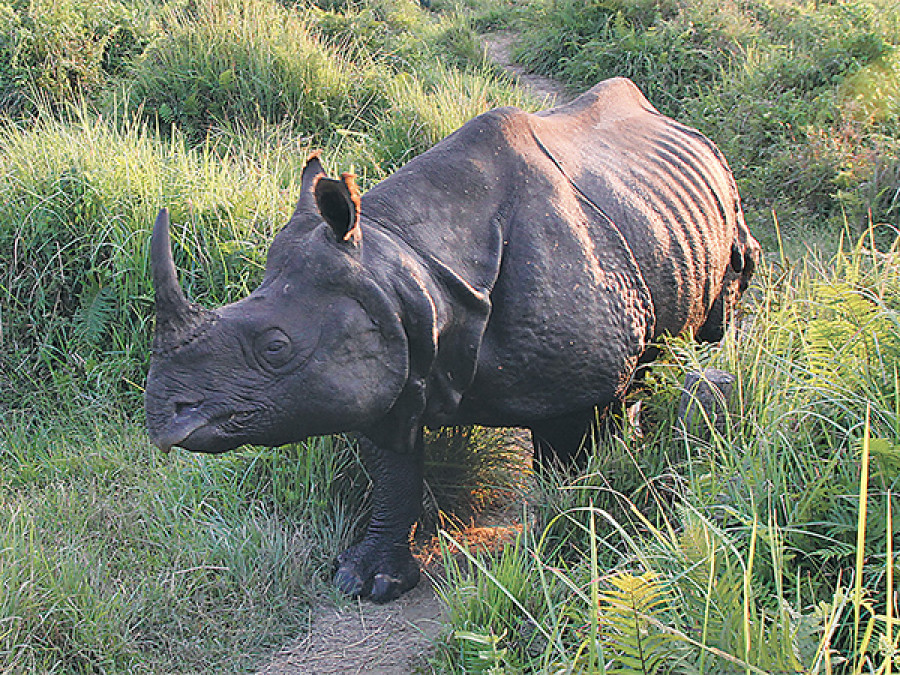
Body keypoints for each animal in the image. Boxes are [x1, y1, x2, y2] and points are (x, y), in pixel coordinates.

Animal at [145, 77, 759, 601]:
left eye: (276, 348)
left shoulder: (574, 384)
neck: (405, 264)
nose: (163, 419)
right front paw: (369, 581)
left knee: (716, 315)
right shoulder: (386, 352)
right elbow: (392, 473)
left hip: (724, 201)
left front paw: (561, 550)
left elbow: (571, 463)